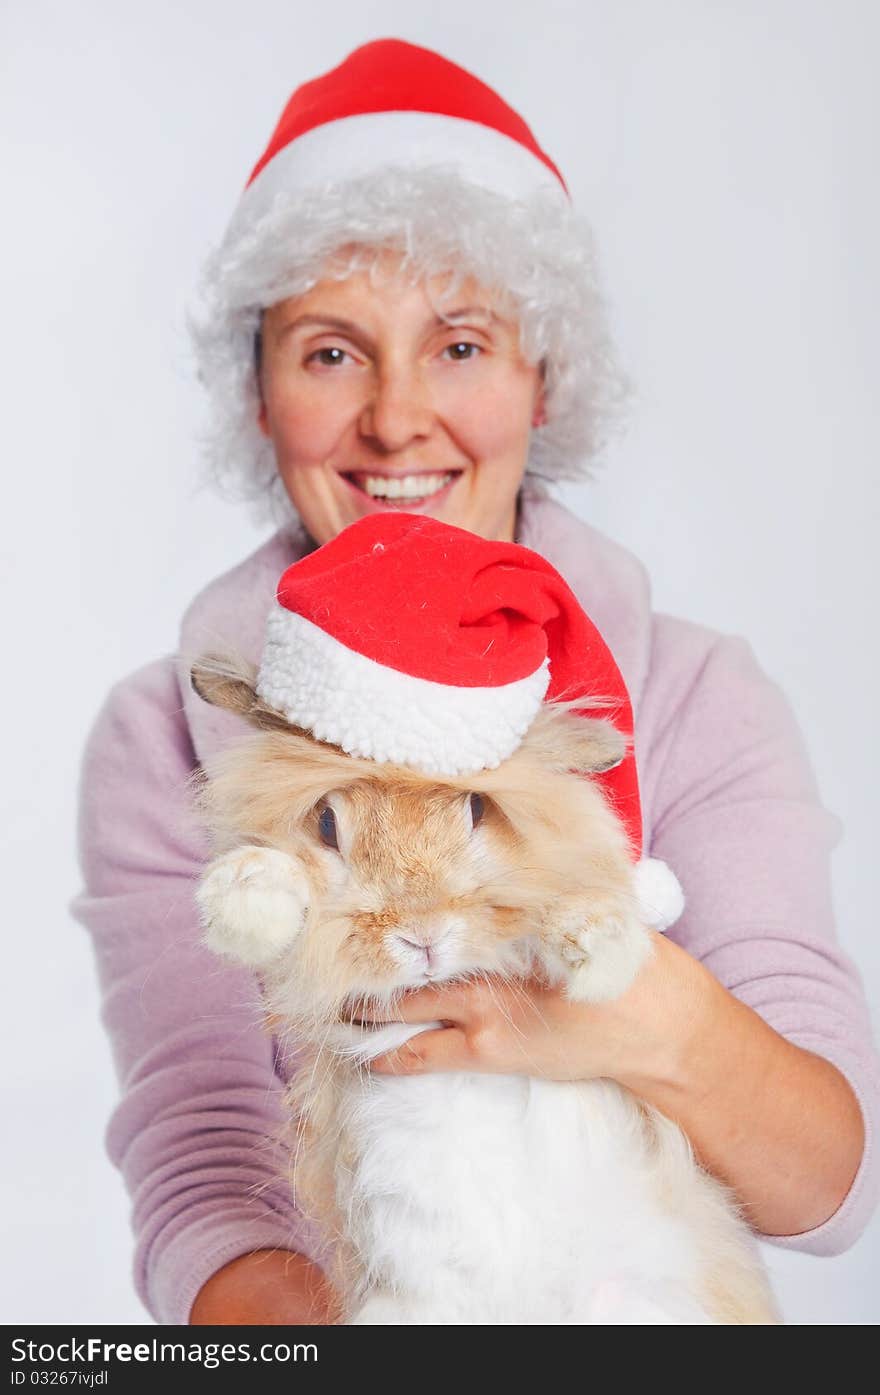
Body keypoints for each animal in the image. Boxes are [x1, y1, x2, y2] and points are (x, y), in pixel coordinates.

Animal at [189, 652, 780, 1328]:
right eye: (328, 823)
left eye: (476, 810)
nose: (422, 936)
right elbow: (275, 886)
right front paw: (246, 901)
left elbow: (567, 898)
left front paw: (598, 950)